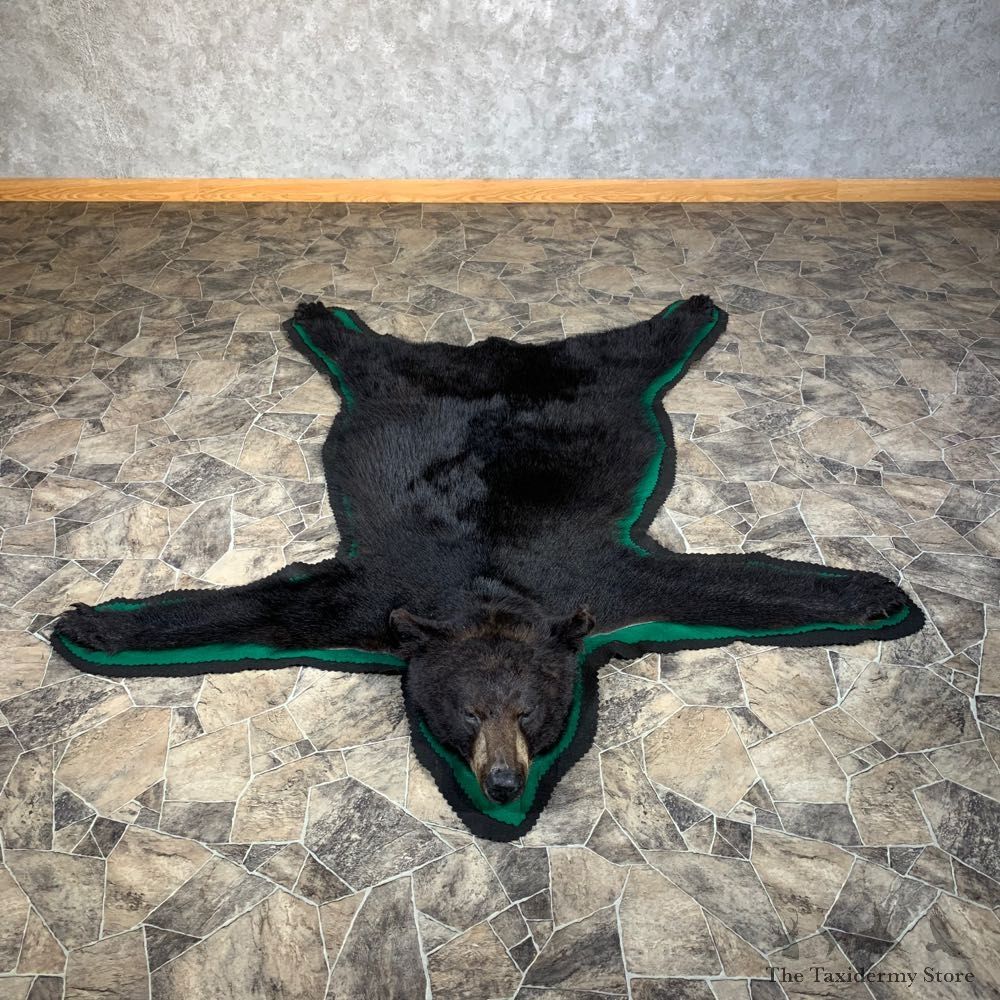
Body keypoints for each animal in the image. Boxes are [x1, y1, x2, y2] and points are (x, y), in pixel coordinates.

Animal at [54, 294, 921, 810]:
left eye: (531, 711)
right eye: (467, 711)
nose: (502, 783)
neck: (490, 589)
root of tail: (499, 352)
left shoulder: (603, 585)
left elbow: (716, 586)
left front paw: (869, 592)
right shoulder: (374, 599)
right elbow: (269, 606)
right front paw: (95, 623)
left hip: (589, 381)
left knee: (628, 351)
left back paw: (692, 310)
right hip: (405, 384)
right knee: (378, 357)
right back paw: (321, 317)